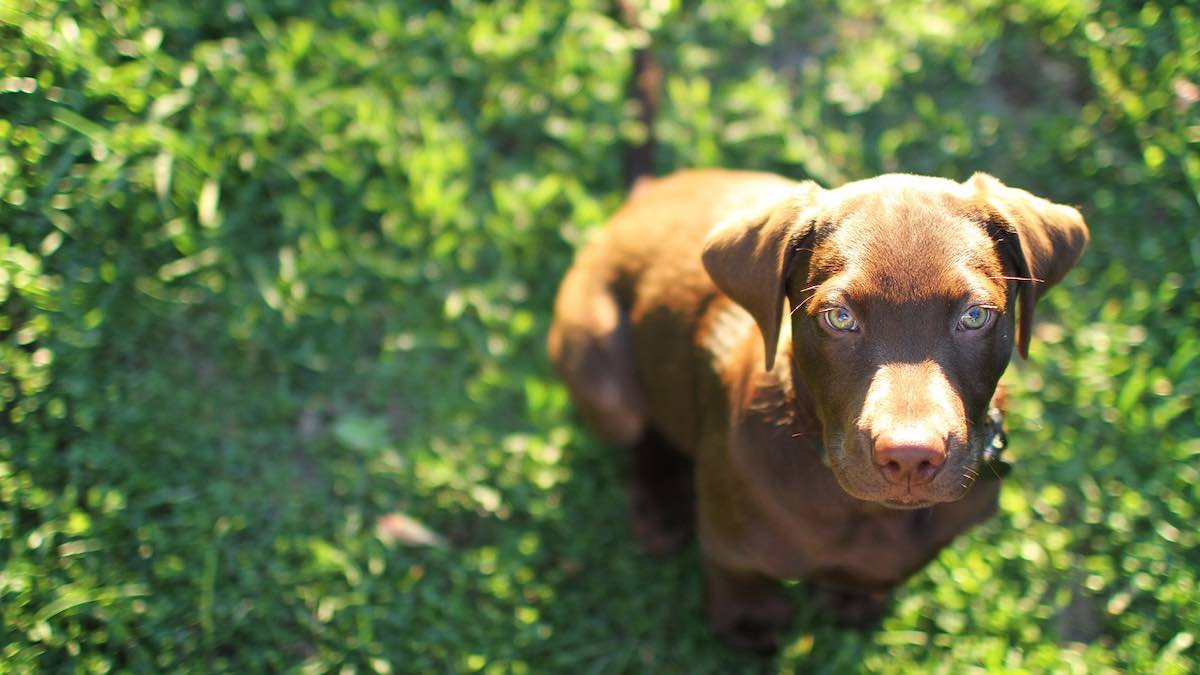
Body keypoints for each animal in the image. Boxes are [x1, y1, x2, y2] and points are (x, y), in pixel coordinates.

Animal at [549, 165, 1094, 648]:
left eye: (976, 316)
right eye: (839, 317)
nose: (911, 457)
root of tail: (644, 195)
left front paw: (853, 599)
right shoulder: (727, 539)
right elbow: (734, 570)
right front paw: (747, 619)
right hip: (600, 370)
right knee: (642, 432)